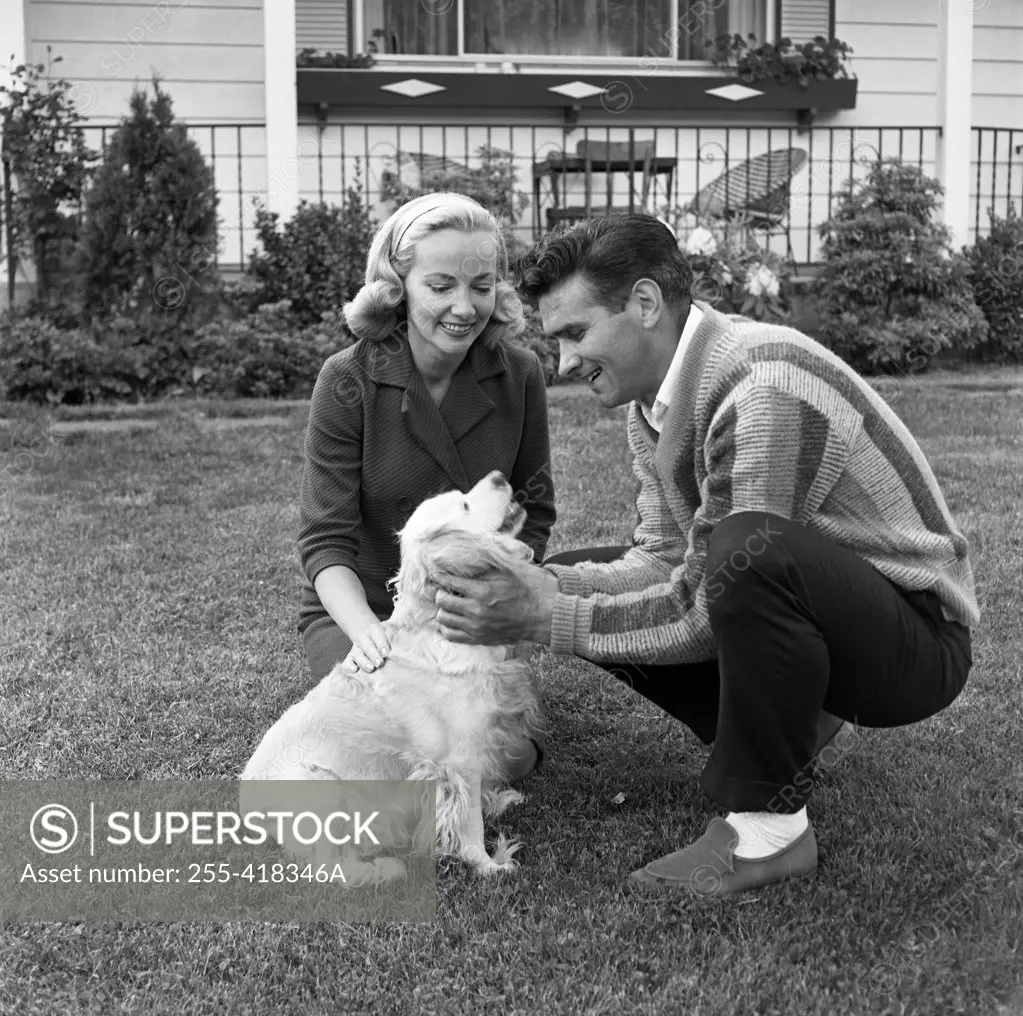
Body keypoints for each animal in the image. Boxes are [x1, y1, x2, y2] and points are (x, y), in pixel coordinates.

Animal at [240, 472, 548, 875]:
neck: (435, 626)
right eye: (464, 505)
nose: (498, 476)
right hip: (323, 786)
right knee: (330, 867)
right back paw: (381, 871)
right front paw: (488, 865)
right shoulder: (459, 760)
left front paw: (496, 801)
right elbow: (469, 824)